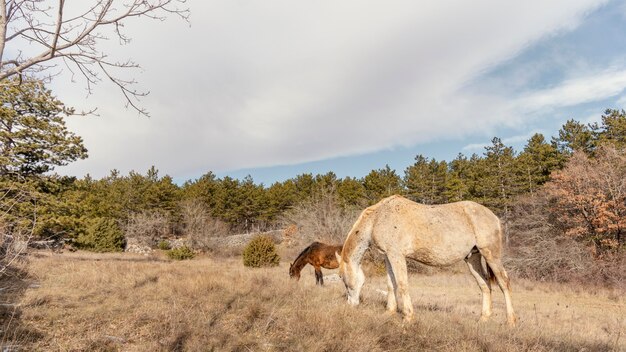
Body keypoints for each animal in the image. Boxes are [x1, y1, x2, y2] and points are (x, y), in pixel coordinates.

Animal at [336, 194, 516, 326]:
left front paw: (408, 317)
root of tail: (494, 216)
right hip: (473, 258)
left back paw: (510, 321)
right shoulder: (388, 256)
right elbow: (390, 284)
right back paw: (483, 318)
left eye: (343, 279)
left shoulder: (397, 255)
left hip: (491, 254)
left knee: (503, 283)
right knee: (484, 284)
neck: (379, 217)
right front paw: (389, 312)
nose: (351, 305)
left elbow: (402, 285)